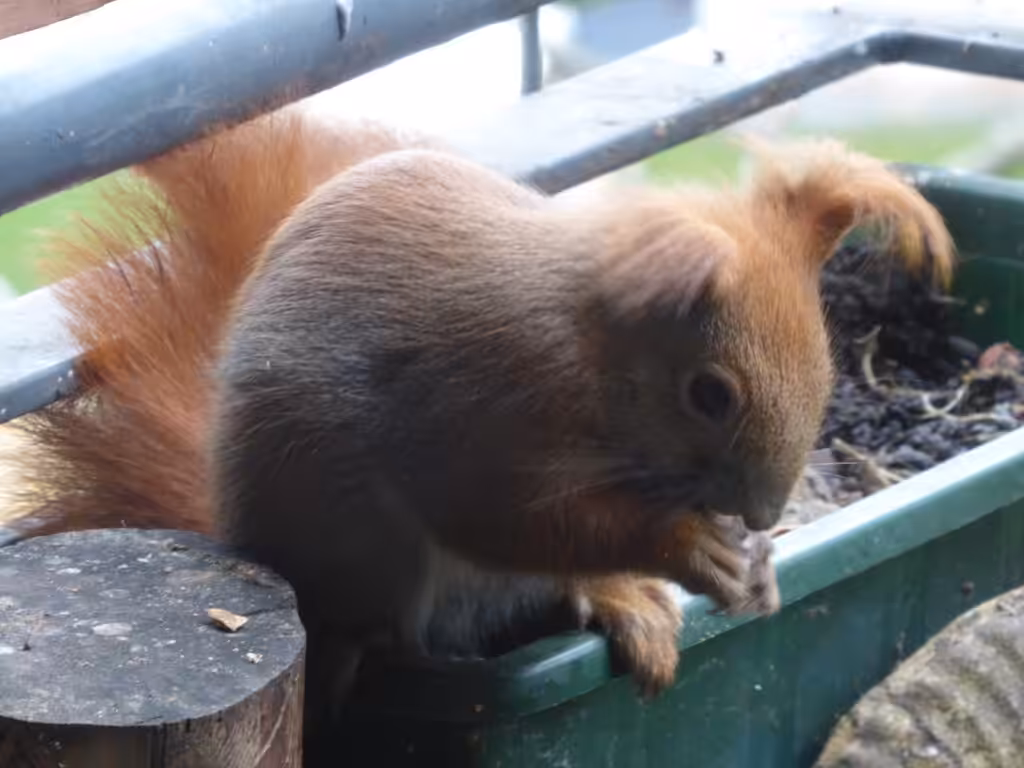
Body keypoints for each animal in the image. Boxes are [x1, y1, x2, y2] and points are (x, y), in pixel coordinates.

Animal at [2, 105, 954, 743]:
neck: (588, 357)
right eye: (710, 394)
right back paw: (366, 651)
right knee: (392, 623)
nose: (759, 512)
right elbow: (509, 519)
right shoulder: (474, 414)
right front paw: (693, 552)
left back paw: (626, 603)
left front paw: (740, 561)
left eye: (828, 362)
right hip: (361, 543)